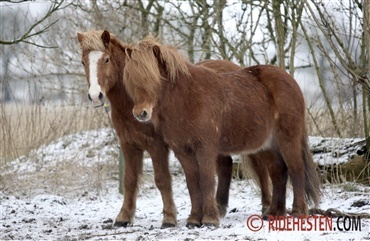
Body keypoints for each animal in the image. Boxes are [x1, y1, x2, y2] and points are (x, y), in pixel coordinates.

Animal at [124, 36, 320, 227]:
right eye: (131, 79)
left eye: (152, 78)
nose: (140, 113)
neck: (188, 99)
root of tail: (290, 80)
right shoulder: (182, 151)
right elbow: (192, 183)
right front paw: (194, 219)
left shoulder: (206, 148)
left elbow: (207, 180)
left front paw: (210, 219)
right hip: (268, 145)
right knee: (279, 173)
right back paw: (273, 213)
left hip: (288, 139)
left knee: (296, 169)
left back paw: (298, 212)